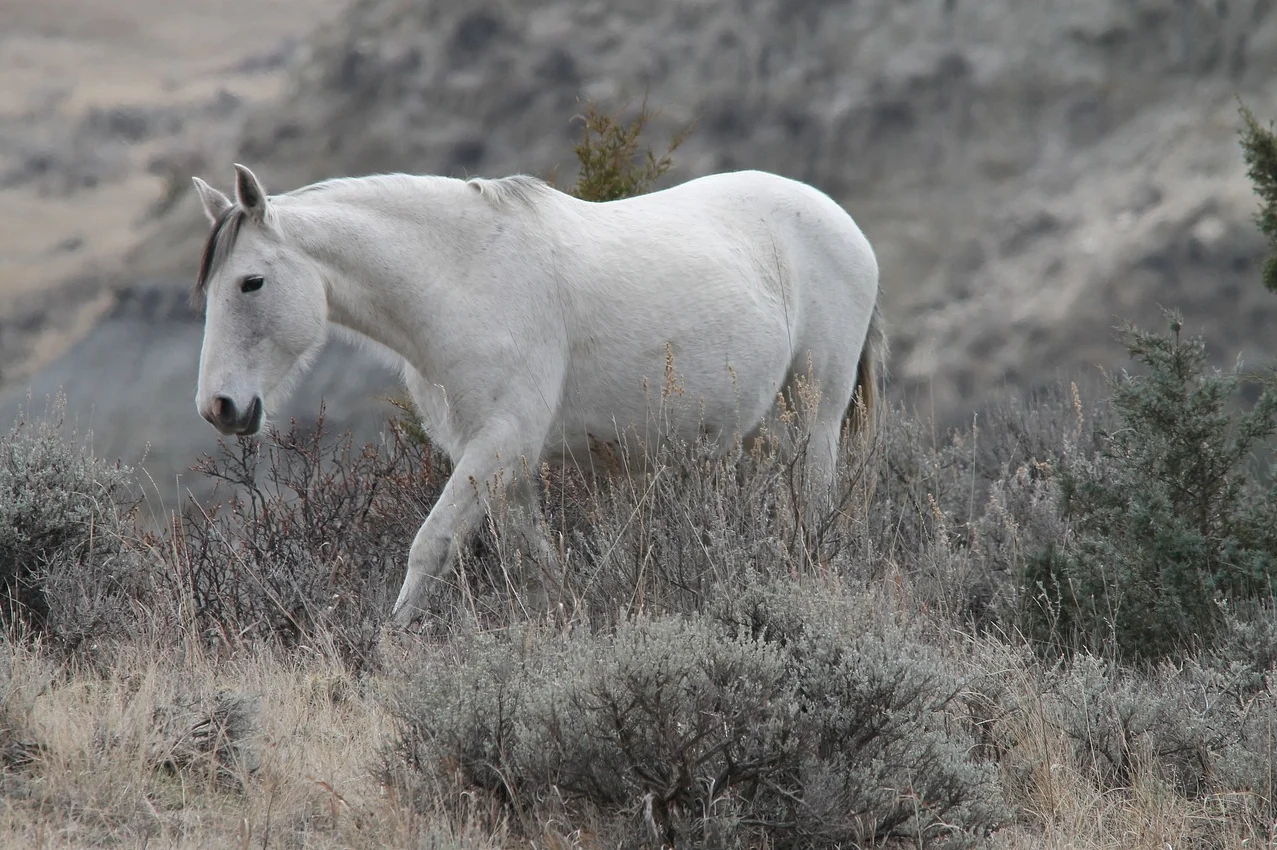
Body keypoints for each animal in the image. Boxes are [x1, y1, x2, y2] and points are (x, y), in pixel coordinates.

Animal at [191, 162, 888, 622]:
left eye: (251, 282)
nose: (219, 408)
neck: (464, 277)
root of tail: (843, 223)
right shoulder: (499, 460)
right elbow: (538, 565)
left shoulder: (500, 445)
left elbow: (429, 546)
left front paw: (392, 651)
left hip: (815, 416)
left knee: (813, 508)